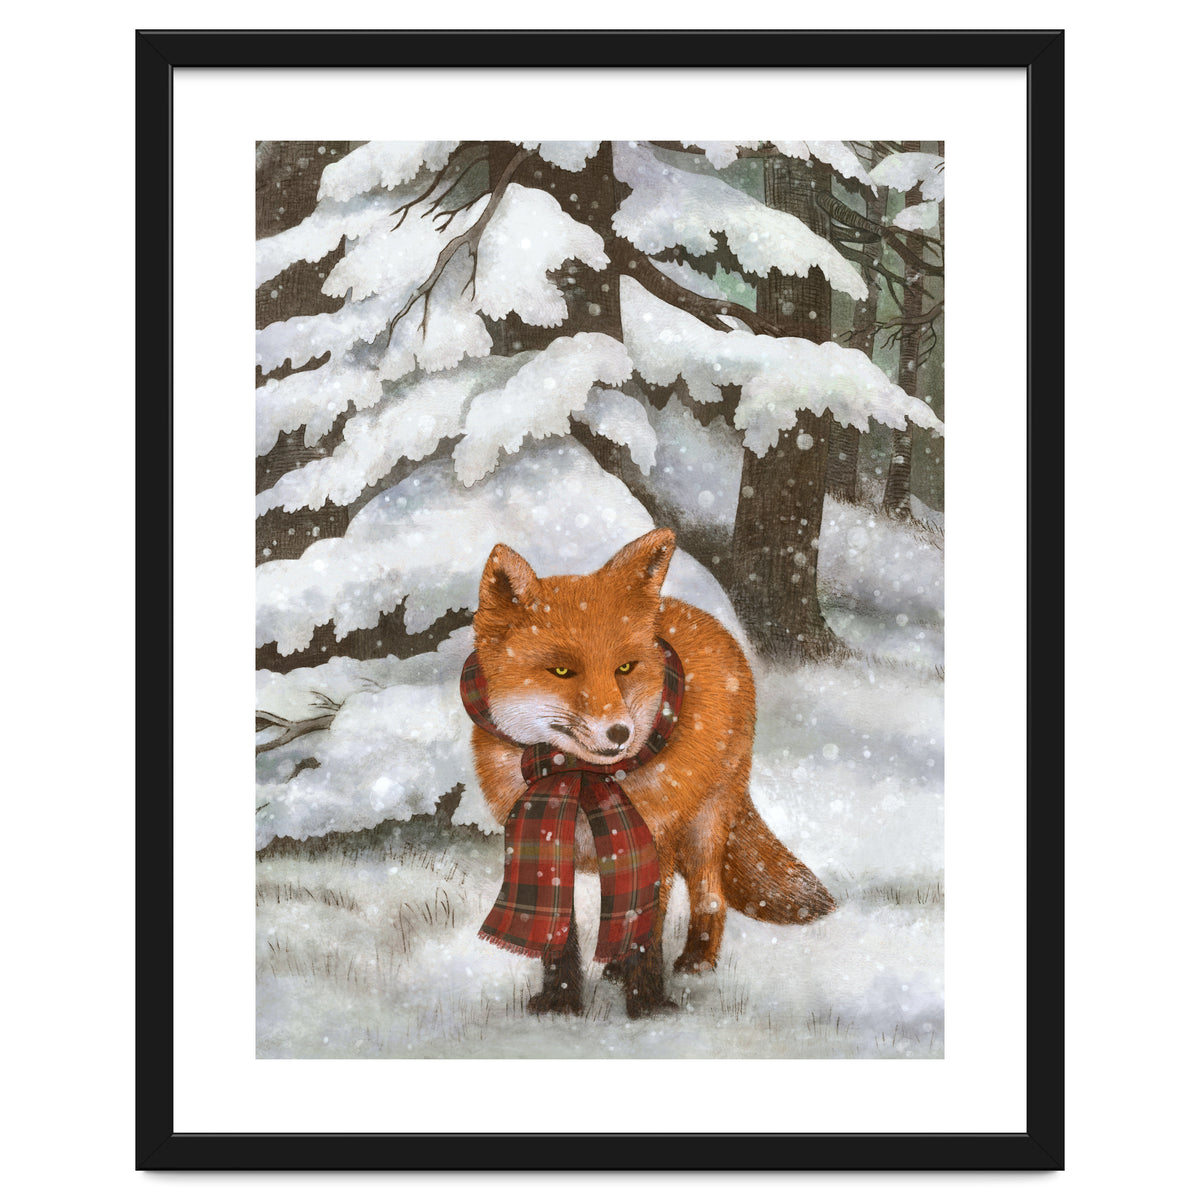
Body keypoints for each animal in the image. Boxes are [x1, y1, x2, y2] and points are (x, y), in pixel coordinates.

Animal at [468, 527, 835, 1018]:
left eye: (625, 668)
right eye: (562, 671)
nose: (620, 732)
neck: (579, 778)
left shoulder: (652, 840)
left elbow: (646, 932)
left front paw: (647, 1007)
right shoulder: (547, 842)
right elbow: (560, 934)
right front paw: (559, 1003)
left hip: (704, 826)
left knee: (710, 896)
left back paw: (696, 961)